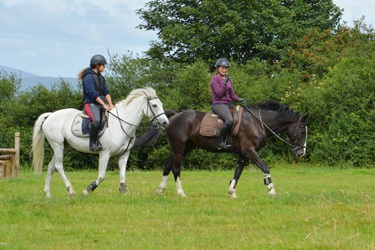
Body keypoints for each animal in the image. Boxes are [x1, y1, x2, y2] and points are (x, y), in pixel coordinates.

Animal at [32, 87, 170, 197]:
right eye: (154, 105)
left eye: (161, 104)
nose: (165, 122)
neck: (121, 124)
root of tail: (50, 116)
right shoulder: (105, 153)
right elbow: (102, 175)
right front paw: (88, 190)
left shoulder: (124, 154)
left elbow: (122, 174)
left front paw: (123, 192)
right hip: (58, 145)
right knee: (58, 166)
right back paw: (71, 191)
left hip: (64, 146)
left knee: (51, 166)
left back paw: (47, 193)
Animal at [138, 100, 308, 198]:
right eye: (302, 132)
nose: (301, 153)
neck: (258, 122)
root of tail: (174, 116)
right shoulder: (250, 150)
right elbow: (264, 167)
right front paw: (271, 189)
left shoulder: (244, 153)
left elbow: (237, 172)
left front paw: (232, 192)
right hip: (179, 147)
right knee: (175, 168)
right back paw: (181, 193)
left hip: (186, 147)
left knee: (168, 164)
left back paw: (160, 190)